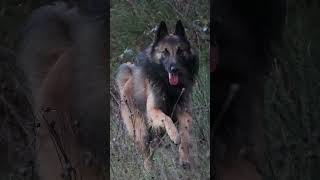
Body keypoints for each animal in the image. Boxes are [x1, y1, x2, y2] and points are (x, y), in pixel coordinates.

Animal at [116, 20, 199, 170]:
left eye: (180, 51)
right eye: (165, 52)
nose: (174, 69)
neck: (168, 85)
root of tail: (126, 82)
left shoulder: (184, 113)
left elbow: (184, 137)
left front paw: (184, 160)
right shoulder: (153, 110)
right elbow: (166, 118)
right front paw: (175, 135)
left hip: (156, 134)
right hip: (142, 131)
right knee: (146, 155)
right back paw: (149, 170)